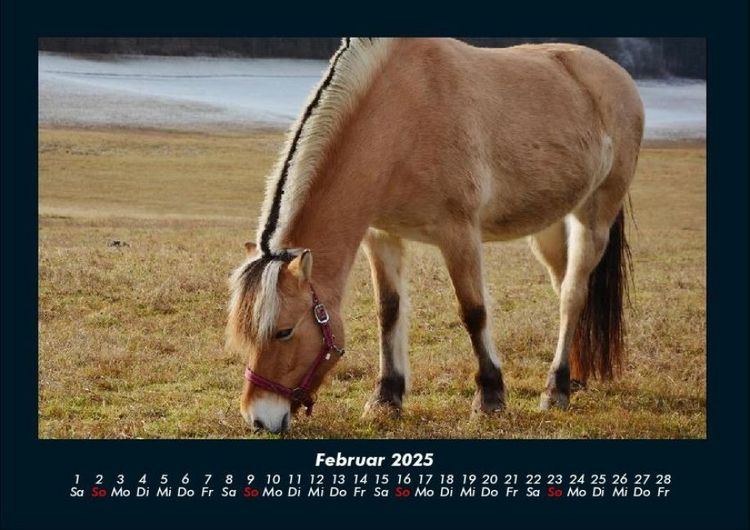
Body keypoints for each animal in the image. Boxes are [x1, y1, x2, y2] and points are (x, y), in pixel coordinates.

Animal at [227, 37, 644, 434]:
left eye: (284, 331)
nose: (259, 418)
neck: (402, 116)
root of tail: (617, 77)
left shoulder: (459, 234)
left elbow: (473, 311)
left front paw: (489, 399)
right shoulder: (382, 236)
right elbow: (389, 312)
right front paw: (386, 398)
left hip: (593, 217)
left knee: (572, 296)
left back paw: (556, 389)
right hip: (550, 228)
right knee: (565, 289)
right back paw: (575, 378)